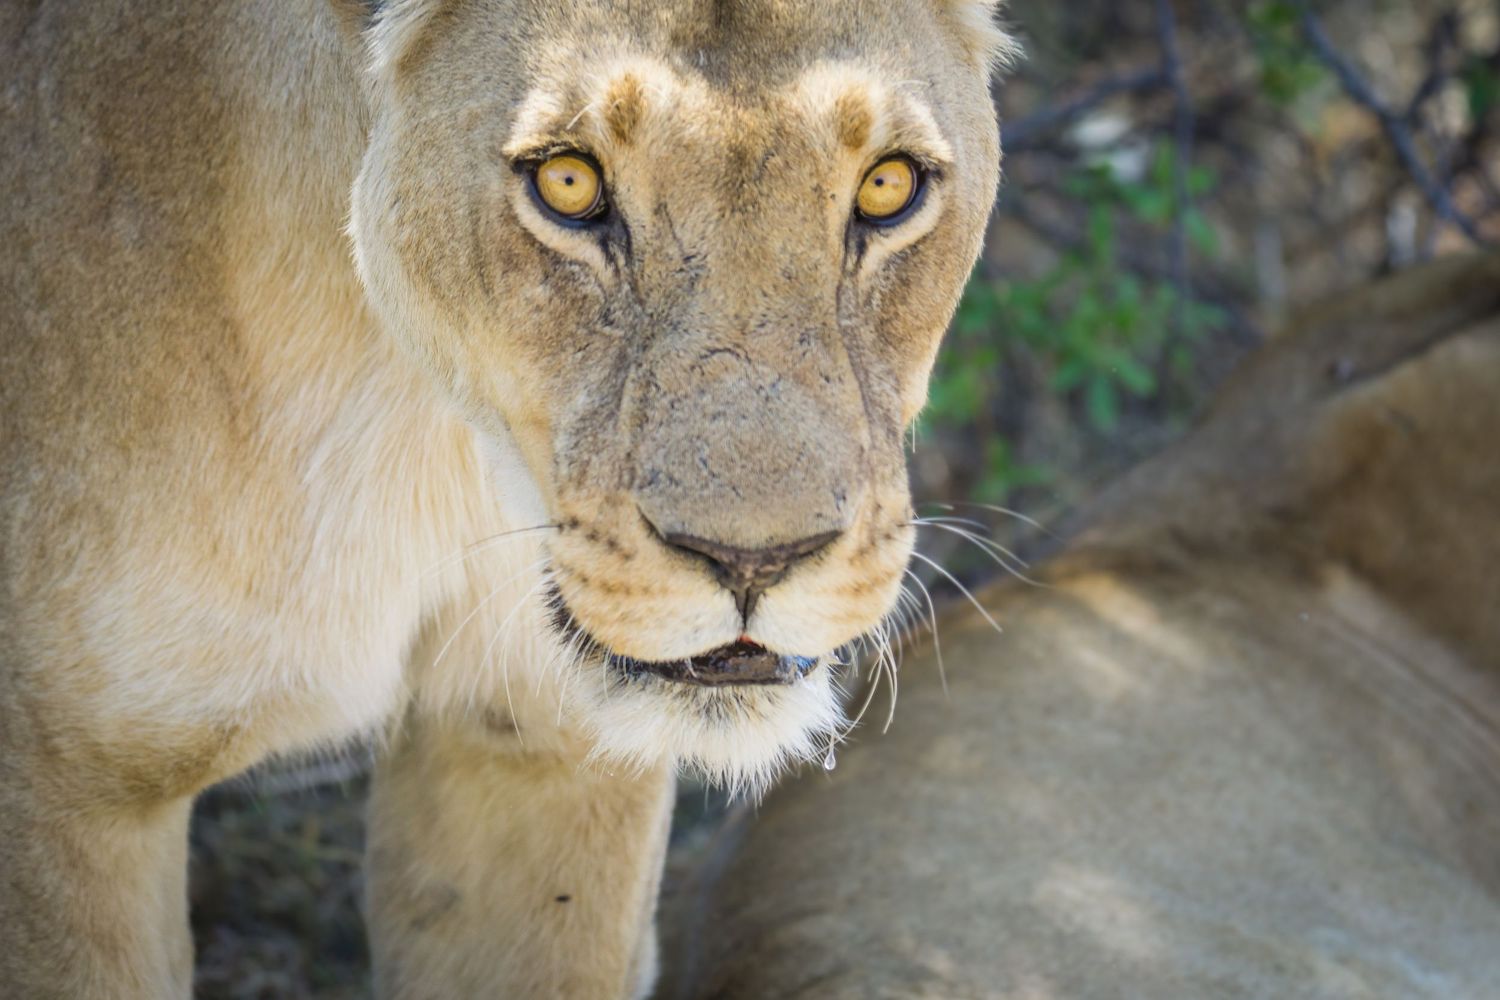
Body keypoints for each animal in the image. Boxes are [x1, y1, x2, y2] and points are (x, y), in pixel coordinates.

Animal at [0, 1, 1015, 996]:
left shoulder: (538, 744)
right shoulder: (66, 792)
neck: (432, 412)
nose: (753, 562)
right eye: (567, 182)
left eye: (886, 187)